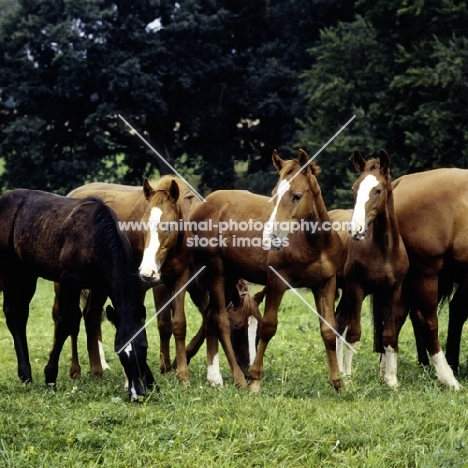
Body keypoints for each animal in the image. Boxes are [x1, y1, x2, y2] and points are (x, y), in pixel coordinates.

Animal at [0, 188, 154, 400]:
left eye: (144, 347)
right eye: (119, 352)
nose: (136, 392)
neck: (96, 237)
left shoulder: (102, 286)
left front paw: (151, 381)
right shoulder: (69, 283)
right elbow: (66, 323)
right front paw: (50, 377)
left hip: (27, 274)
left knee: (19, 314)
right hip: (11, 272)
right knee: (14, 315)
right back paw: (26, 374)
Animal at [186, 150, 344, 392]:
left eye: (297, 196)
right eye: (274, 195)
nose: (271, 236)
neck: (314, 244)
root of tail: (202, 206)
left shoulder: (324, 283)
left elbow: (328, 330)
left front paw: (338, 383)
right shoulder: (277, 282)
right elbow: (269, 327)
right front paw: (255, 380)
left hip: (231, 277)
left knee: (211, 316)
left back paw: (215, 377)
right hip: (215, 273)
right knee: (221, 320)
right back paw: (238, 379)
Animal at [332, 151, 410, 388]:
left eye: (378, 190)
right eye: (354, 188)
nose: (355, 230)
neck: (384, 250)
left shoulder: (393, 291)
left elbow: (389, 334)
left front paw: (391, 380)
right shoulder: (357, 288)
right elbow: (354, 333)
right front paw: (349, 380)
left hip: (346, 293)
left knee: (339, 322)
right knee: (339, 325)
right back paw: (341, 372)